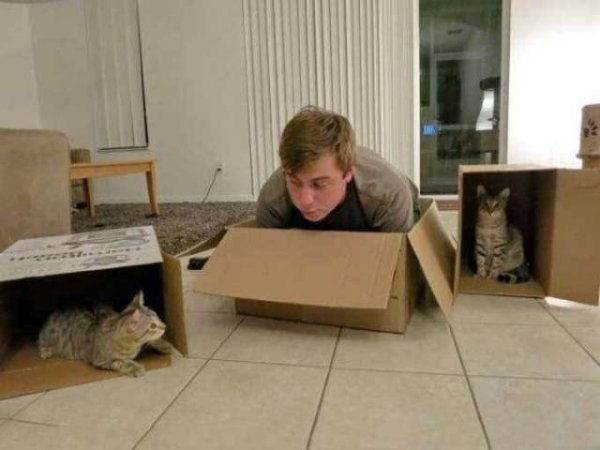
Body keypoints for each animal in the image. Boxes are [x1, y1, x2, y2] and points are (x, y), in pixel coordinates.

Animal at [37, 292, 172, 376]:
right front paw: (135, 367)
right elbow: (120, 362)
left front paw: (165, 346)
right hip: (47, 337)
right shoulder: (101, 361)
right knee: (40, 342)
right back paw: (45, 351)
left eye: (157, 316)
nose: (165, 325)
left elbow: (153, 342)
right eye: (152, 326)